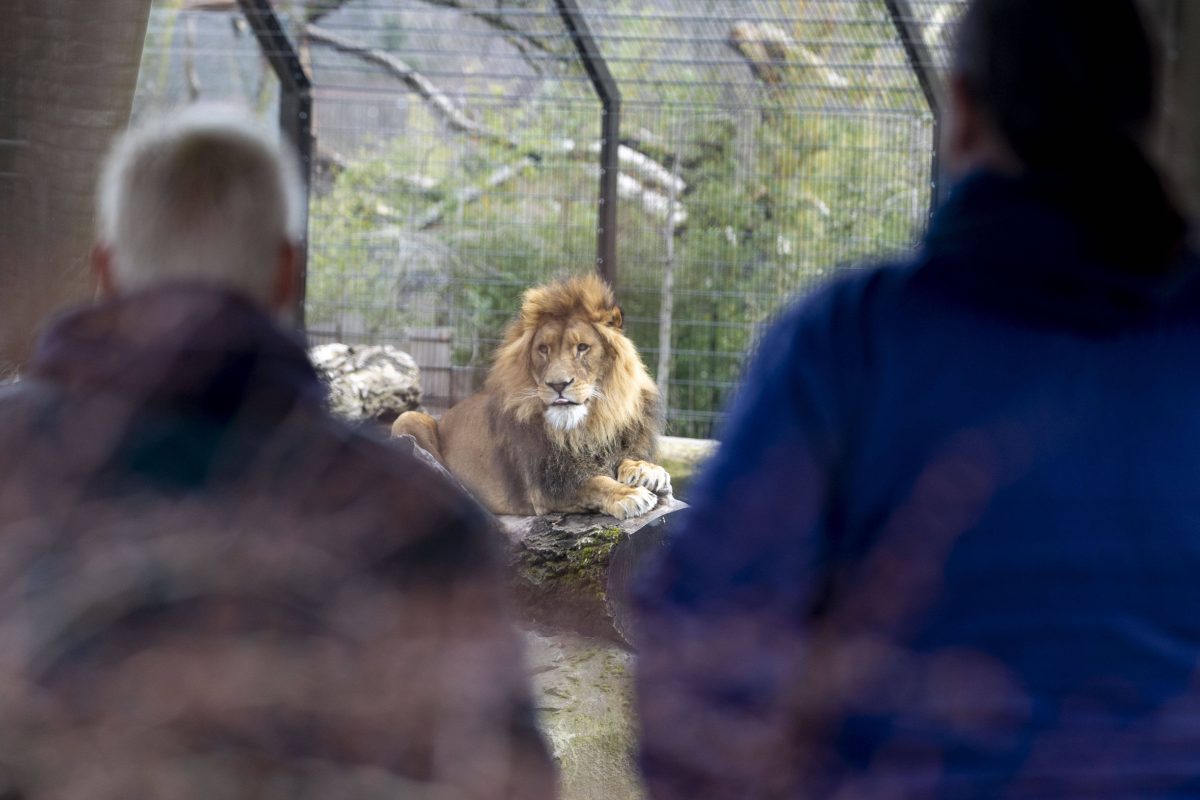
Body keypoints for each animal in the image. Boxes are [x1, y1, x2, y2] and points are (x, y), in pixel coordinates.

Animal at [398, 272, 672, 522]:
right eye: (543, 349)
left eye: (583, 347)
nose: (558, 384)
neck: (586, 428)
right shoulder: (546, 487)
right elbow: (594, 483)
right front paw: (628, 494)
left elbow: (627, 459)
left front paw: (646, 470)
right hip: (408, 418)